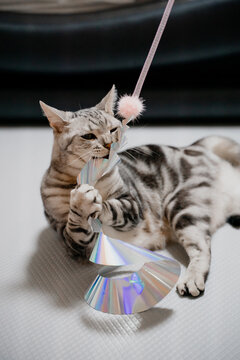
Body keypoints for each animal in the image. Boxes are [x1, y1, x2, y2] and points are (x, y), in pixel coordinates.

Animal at [39, 85, 240, 298]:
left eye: (113, 129)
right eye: (88, 136)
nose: (109, 143)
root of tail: (193, 147)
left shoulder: (132, 205)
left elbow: (111, 206)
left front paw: (89, 200)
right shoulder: (74, 242)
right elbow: (75, 225)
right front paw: (80, 203)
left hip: (182, 207)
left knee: (202, 249)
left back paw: (191, 279)